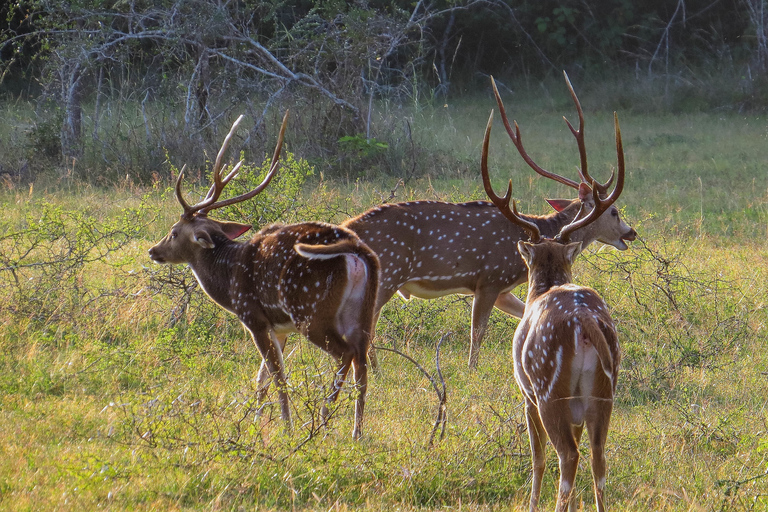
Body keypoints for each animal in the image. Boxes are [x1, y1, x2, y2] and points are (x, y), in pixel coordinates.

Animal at [148, 112, 380, 440]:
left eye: (174, 232)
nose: (153, 251)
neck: (228, 277)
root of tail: (358, 251)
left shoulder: (254, 317)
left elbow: (277, 375)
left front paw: (285, 426)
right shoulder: (279, 327)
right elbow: (262, 378)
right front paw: (256, 421)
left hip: (311, 310)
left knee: (345, 354)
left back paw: (321, 420)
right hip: (362, 311)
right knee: (362, 361)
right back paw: (355, 433)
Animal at [342, 72, 636, 368]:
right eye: (614, 211)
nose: (631, 232)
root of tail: (347, 228)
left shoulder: (503, 289)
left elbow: (524, 315)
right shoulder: (489, 279)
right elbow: (477, 335)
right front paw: (471, 370)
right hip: (388, 274)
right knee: (365, 326)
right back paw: (373, 371)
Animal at [484, 106, 620, 510]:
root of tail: (585, 323)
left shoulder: (525, 392)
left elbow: (537, 458)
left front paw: (530, 502)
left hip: (548, 389)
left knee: (566, 456)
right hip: (603, 392)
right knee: (598, 457)